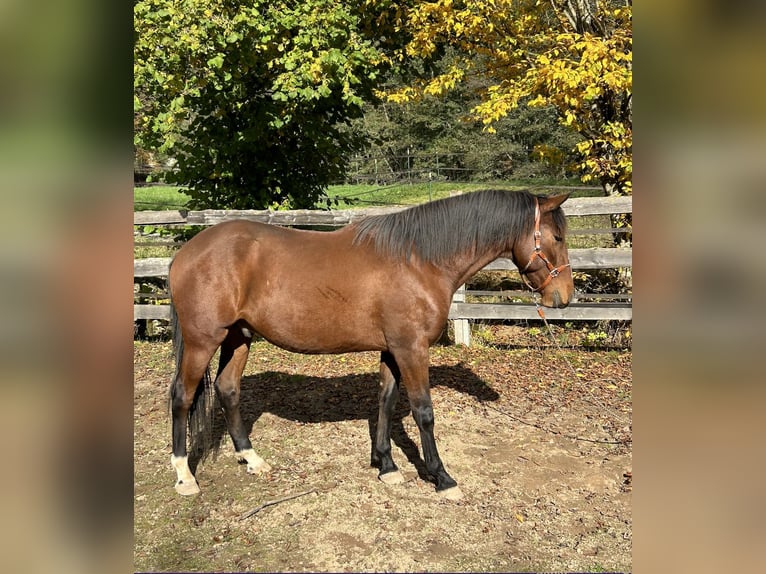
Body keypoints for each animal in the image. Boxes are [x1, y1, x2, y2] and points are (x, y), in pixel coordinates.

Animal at [170, 191, 576, 502]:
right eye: (557, 237)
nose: (564, 297)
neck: (418, 260)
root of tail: (186, 252)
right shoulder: (412, 349)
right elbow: (423, 412)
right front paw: (442, 478)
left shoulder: (393, 349)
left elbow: (386, 401)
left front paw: (387, 466)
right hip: (202, 341)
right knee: (182, 397)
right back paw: (184, 476)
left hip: (238, 336)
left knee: (228, 389)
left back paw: (251, 459)